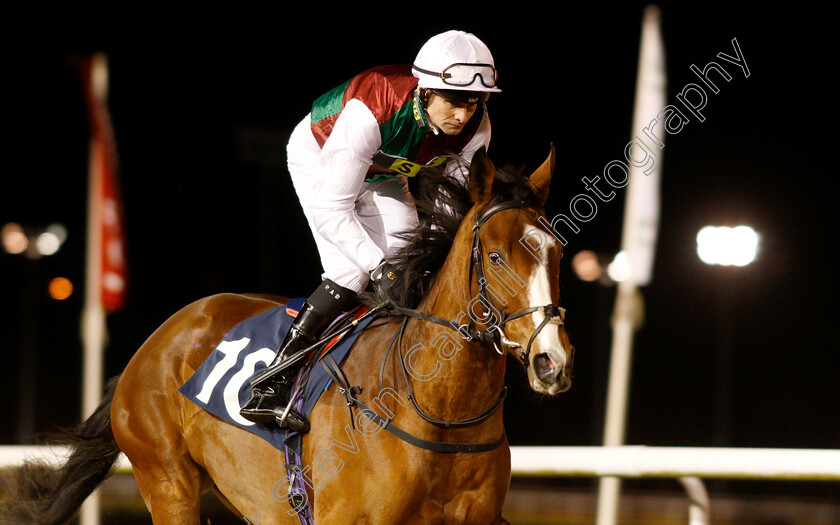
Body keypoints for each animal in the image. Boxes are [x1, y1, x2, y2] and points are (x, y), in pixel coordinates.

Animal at [0, 146, 572, 524]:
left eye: (557, 251)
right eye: (495, 257)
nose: (553, 361)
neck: (442, 413)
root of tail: (154, 343)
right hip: (166, 481)